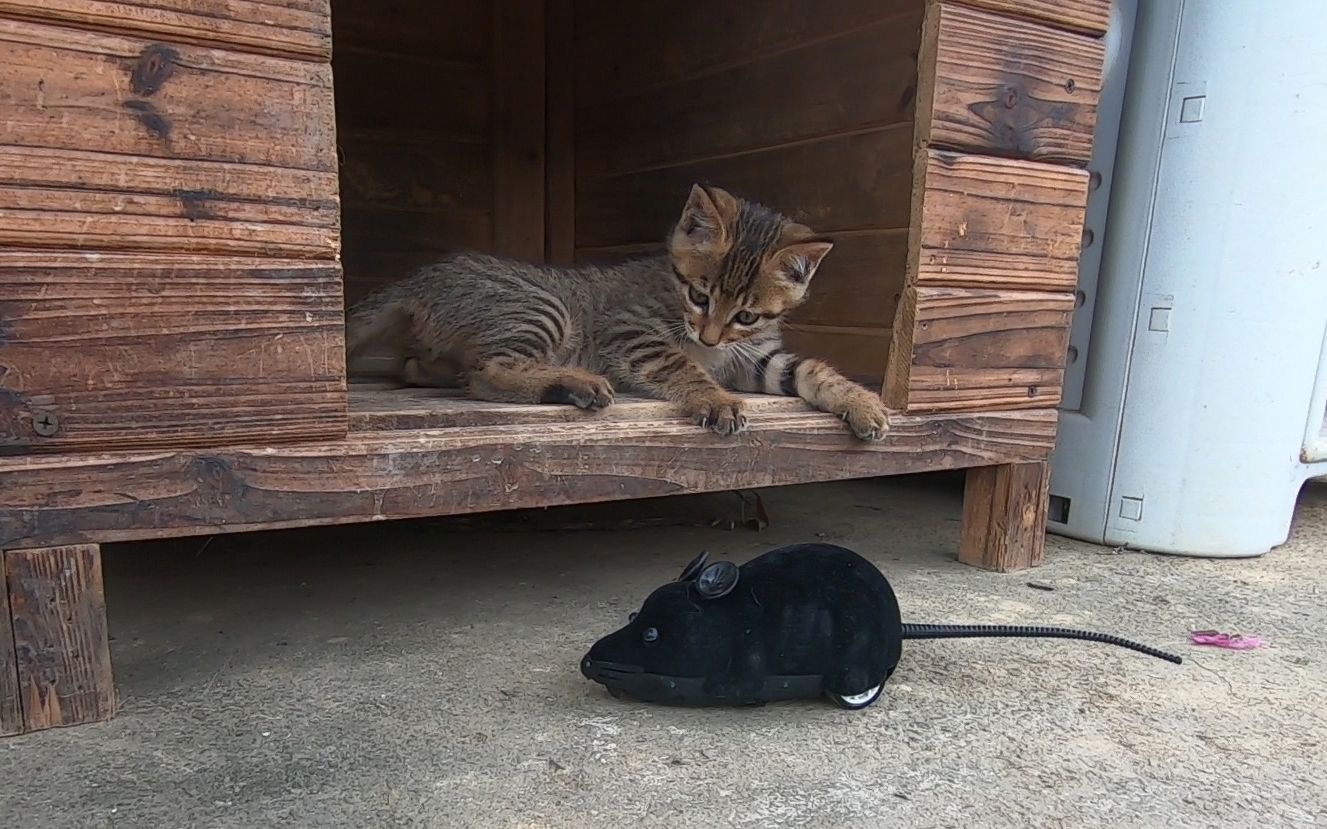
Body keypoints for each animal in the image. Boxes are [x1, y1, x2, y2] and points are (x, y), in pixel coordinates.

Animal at [347, 183, 891, 440]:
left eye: (747, 316)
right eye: (699, 296)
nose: (710, 338)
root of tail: (428, 275)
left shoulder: (755, 357)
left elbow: (812, 370)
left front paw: (862, 402)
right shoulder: (631, 332)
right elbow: (681, 364)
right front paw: (714, 398)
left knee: (424, 367)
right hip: (541, 306)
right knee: (485, 374)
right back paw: (572, 382)